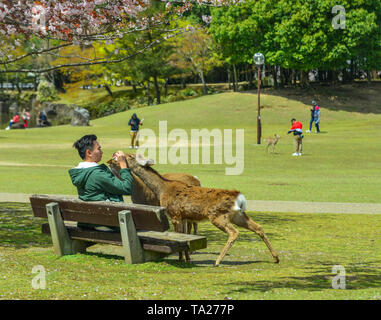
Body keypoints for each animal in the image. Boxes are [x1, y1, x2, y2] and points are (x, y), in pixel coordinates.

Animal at [123, 154, 278, 266]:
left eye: (131, 156)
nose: (122, 154)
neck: (162, 190)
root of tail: (239, 197)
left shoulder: (175, 214)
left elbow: (179, 236)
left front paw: (181, 259)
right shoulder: (184, 216)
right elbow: (184, 236)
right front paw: (186, 258)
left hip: (217, 215)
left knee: (234, 232)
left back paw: (217, 261)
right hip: (238, 215)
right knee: (258, 227)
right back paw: (276, 258)